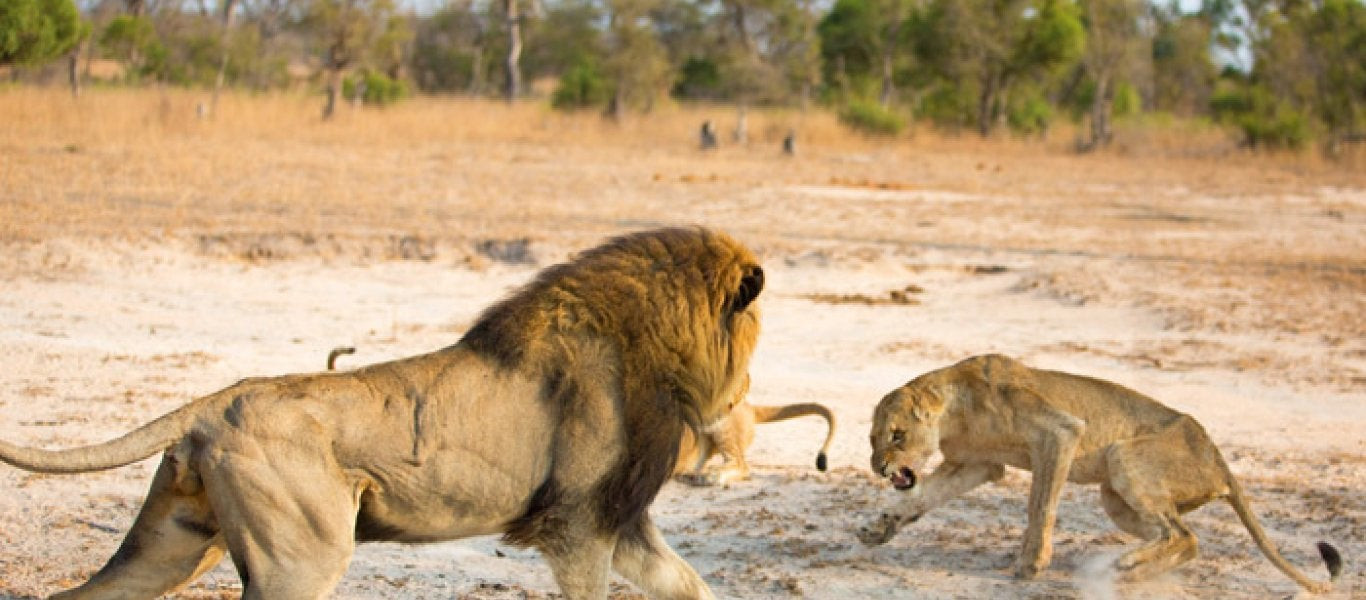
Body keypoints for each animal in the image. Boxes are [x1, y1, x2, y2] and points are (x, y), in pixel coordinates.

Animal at [0, 228, 764, 598]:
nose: (746, 392)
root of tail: (214, 404)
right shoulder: (576, 522)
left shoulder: (619, 519)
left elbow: (691, 587)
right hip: (298, 560)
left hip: (174, 543)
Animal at [857, 355, 1338, 593]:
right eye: (872, 439)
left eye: (897, 435)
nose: (880, 467)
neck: (955, 409)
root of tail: (1218, 457)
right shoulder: (977, 464)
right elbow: (921, 499)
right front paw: (878, 530)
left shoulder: (1060, 432)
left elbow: (1040, 505)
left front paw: (1031, 564)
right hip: (1115, 497)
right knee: (1184, 540)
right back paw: (1127, 570)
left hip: (1125, 456)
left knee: (1183, 535)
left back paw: (1122, 567)